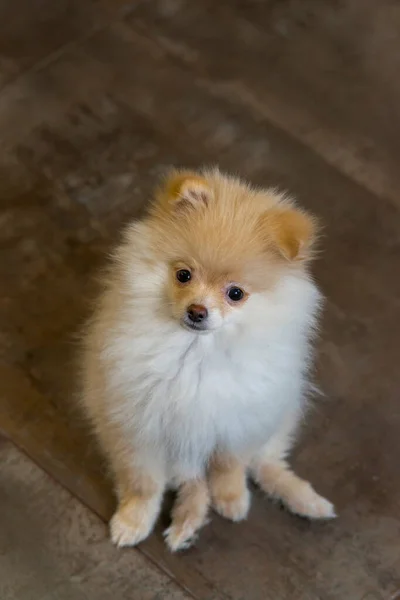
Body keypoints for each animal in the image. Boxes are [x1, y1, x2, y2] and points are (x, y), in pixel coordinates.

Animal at [81, 166, 334, 552]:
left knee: (265, 462)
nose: (197, 311)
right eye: (183, 275)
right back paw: (187, 523)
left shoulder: (240, 421)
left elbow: (231, 465)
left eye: (235, 293)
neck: (197, 352)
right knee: (194, 482)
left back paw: (303, 498)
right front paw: (133, 521)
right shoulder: (138, 429)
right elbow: (144, 484)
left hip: (280, 414)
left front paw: (232, 499)